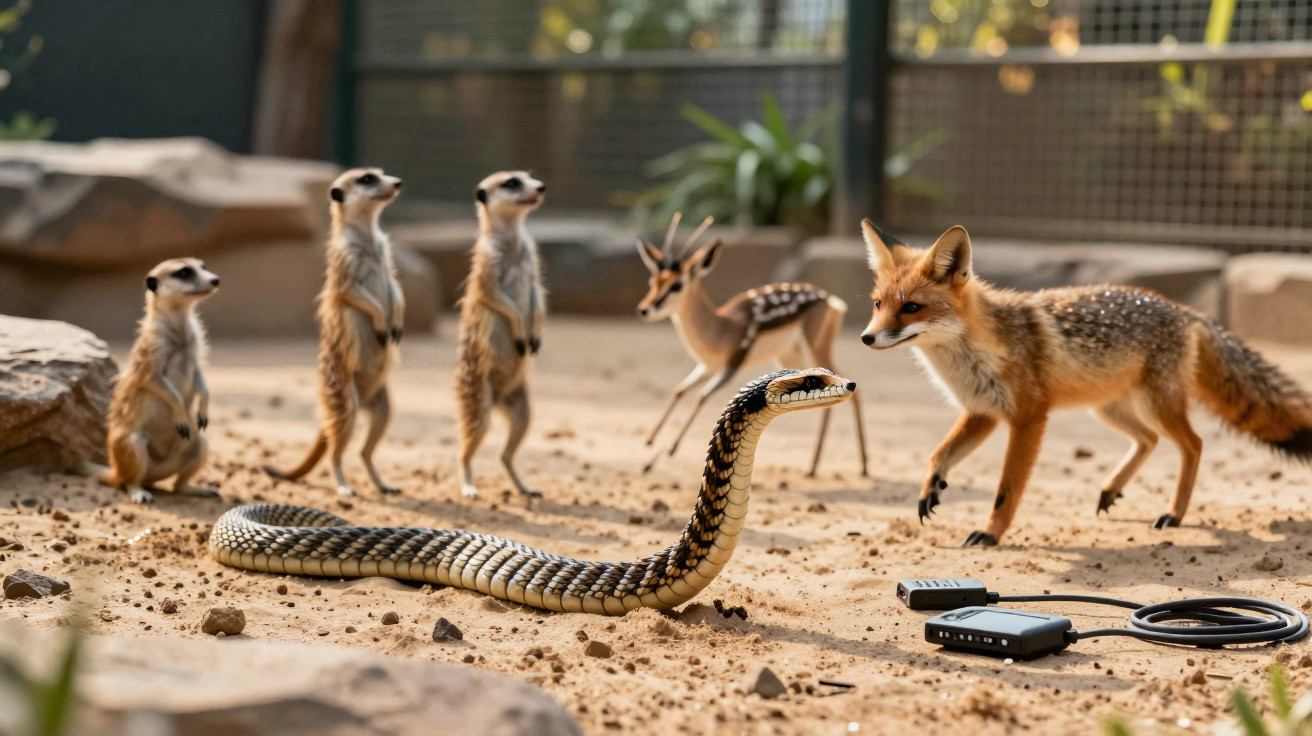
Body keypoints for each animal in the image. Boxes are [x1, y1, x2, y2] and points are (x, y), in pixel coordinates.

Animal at [857, 219, 1312, 547]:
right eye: (878, 304)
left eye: (911, 308)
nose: (865, 338)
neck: (972, 356)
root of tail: (1181, 309)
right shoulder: (983, 411)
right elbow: (939, 454)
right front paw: (930, 489)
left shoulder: (1028, 417)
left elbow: (1007, 489)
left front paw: (991, 533)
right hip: (1109, 409)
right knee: (1149, 440)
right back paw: (1112, 490)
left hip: (1157, 405)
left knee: (1193, 445)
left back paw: (1175, 514)